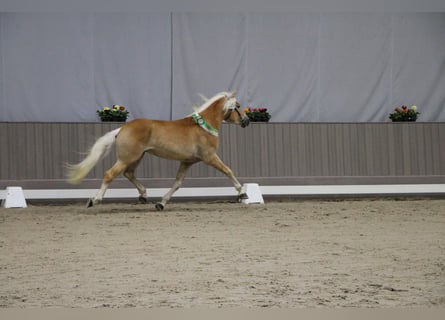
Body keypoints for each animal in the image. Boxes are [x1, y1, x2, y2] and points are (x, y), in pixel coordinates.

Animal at [65, 91, 250, 210]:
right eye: (238, 106)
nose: (247, 121)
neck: (203, 127)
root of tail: (122, 128)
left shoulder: (187, 161)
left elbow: (177, 183)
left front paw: (161, 203)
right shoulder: (209, 157)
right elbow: (228, 171)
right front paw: (242, 193)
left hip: (137, 157)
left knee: (129, 174)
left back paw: (144, 195)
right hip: (127, 158)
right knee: (110, 174)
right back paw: (95, 200)